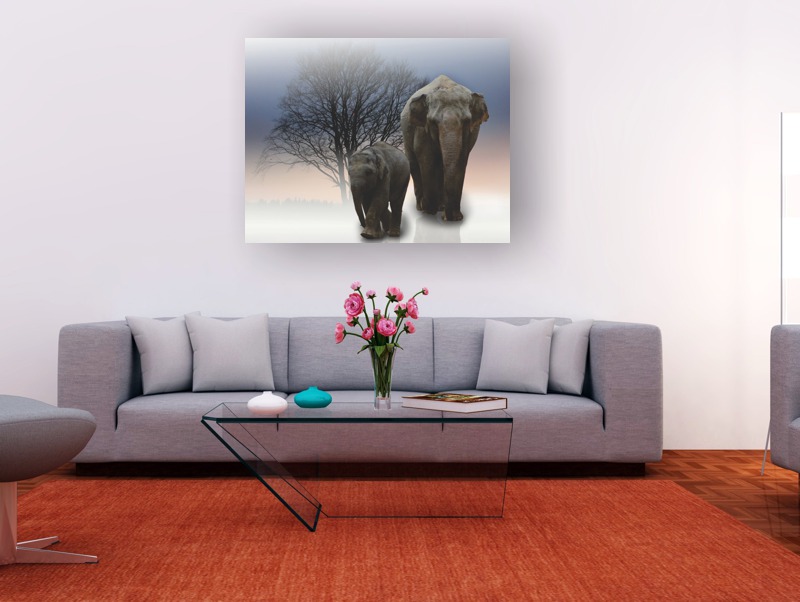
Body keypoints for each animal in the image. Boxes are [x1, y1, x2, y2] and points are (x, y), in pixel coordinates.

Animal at [400, 75, 489, 222]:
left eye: (466, 121)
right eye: (433, 122)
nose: (447, 218)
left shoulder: (469, 135)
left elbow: (462, 159)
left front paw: (455, 217)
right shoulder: (422, 129)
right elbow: (426, 159)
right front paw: (429, 213)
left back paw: (440, 207)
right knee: (414, 164)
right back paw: (422, 208)